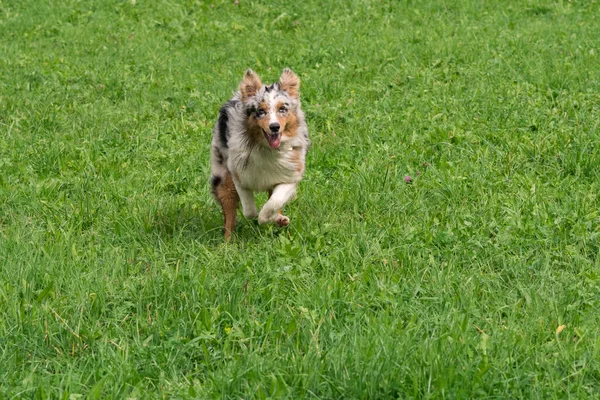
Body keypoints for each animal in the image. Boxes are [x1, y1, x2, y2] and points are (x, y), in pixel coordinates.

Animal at [210, 68, 310, 241]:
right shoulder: (238, 175)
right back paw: (227, 242)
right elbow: (249, 210)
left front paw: (270, 218)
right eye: (261, 111)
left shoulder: (289, 175)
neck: (267, 149)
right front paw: (259, 216)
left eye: (282, 109)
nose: (274, 127)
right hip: (222, 178)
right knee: (229, 214)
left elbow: (274, 202)